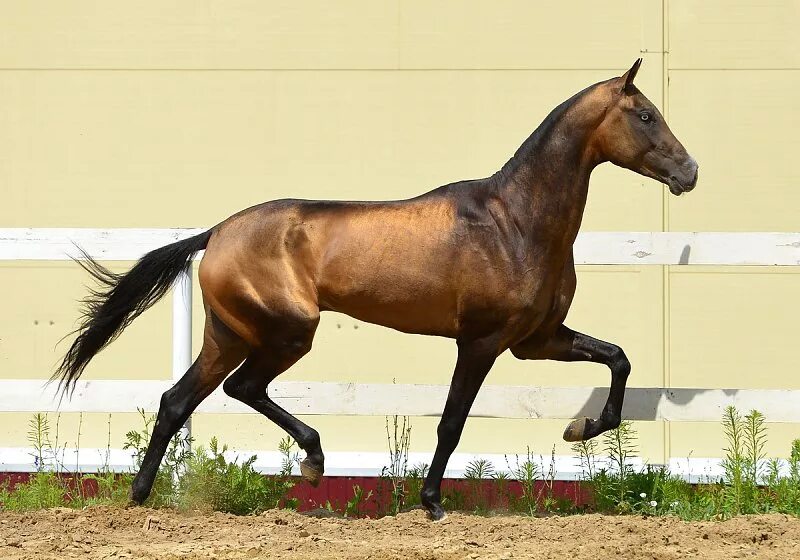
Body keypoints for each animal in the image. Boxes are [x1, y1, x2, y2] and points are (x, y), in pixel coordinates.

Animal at [54, 59, 692, 520]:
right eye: (644, 115)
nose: (690, 172)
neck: (514, 222)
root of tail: (217, 233)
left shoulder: (537, 340)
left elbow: (618, 359)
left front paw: (580, 429)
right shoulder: (481, 342)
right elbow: (452, 421)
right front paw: (432, 504)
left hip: (229, 335)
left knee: (178, 400)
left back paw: (141, 498)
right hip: (288, 332)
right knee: (242, 389)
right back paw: (312, 462)